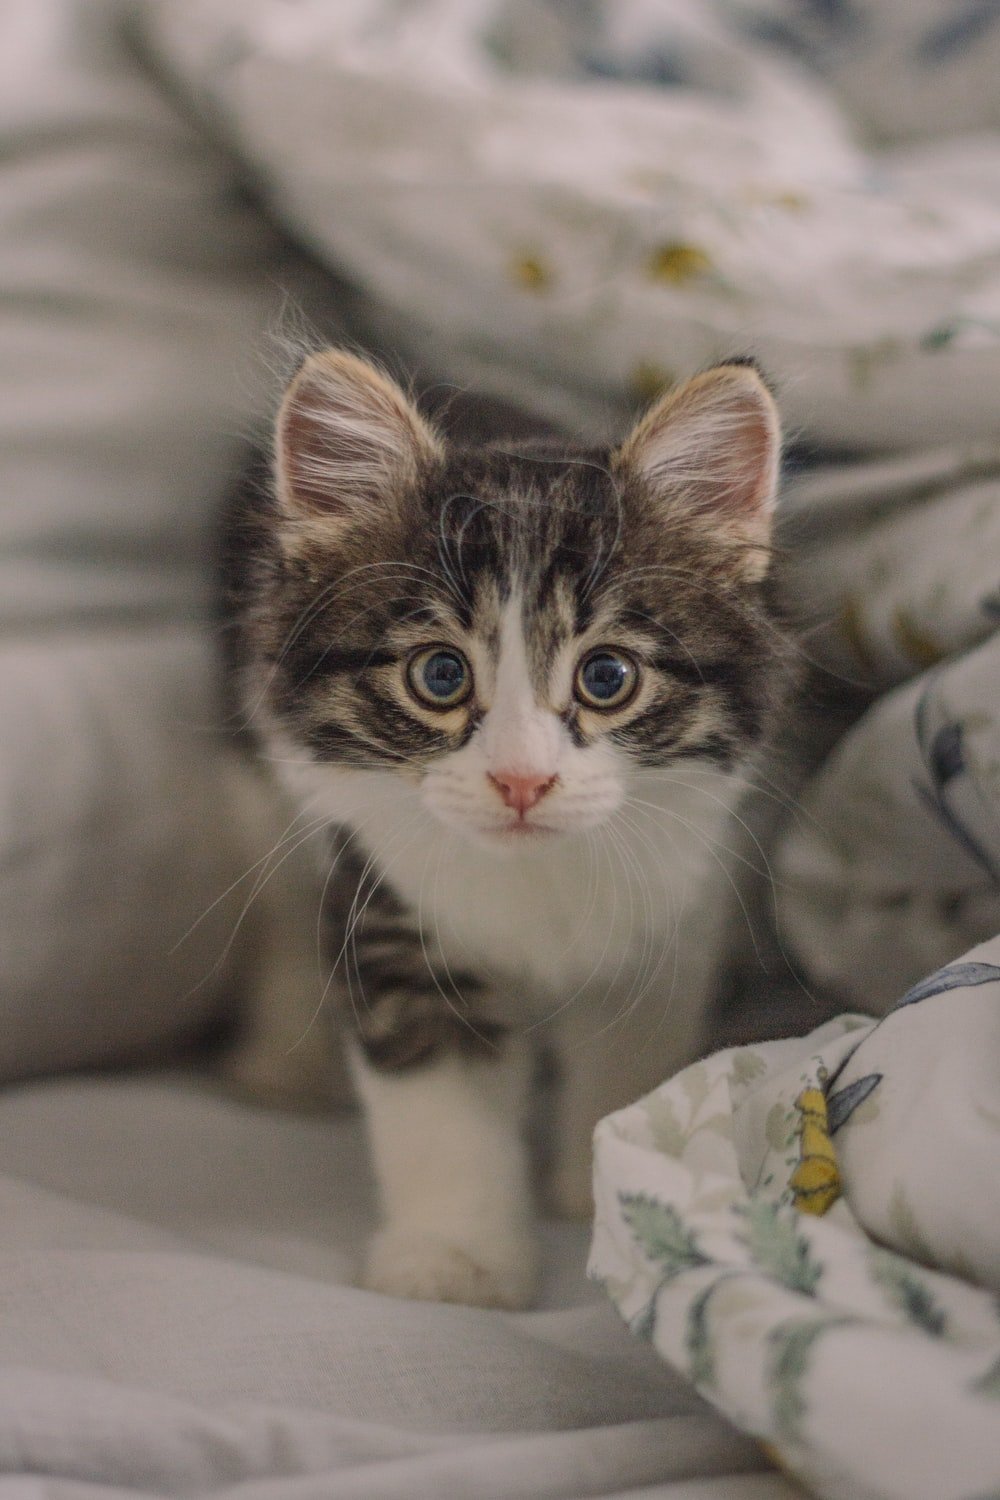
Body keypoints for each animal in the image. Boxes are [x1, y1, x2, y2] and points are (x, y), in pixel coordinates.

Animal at [226, 345, 791, 1308]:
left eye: (607, 677)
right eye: (440, 675)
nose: (521, 780)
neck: (537, 880)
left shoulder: (678, 910)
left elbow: (631, 1057)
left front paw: (603, 1186)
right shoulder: (392, 915)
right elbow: (441, 1114)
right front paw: (454, 1260)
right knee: (286, 903)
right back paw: (282, 1060)